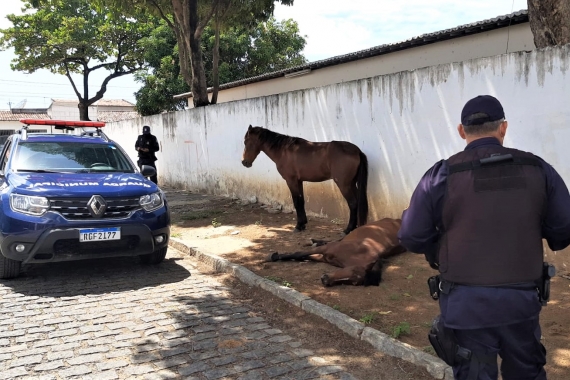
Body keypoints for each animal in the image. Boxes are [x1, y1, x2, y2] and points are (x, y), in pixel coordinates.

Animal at [240, 124, 368, 235]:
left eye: (246, 141)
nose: (244, 162)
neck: (284, 151)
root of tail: (357, 150)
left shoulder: (291, 181)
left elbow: (296, 202)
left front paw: (298, 226)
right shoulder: (299, 181)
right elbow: (301, 201)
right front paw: (303, 224)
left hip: (344, 184)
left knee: (353, 203)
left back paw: (348, 229)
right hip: (352, 184)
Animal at [266, 218, 404, 286]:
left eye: (354, 283)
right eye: (351, 271)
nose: (325, 280)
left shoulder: (324, 256)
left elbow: (303, 257)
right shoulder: (326, 249)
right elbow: (299, 254)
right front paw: (273, 256)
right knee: (335, 239)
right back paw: (313, 241)